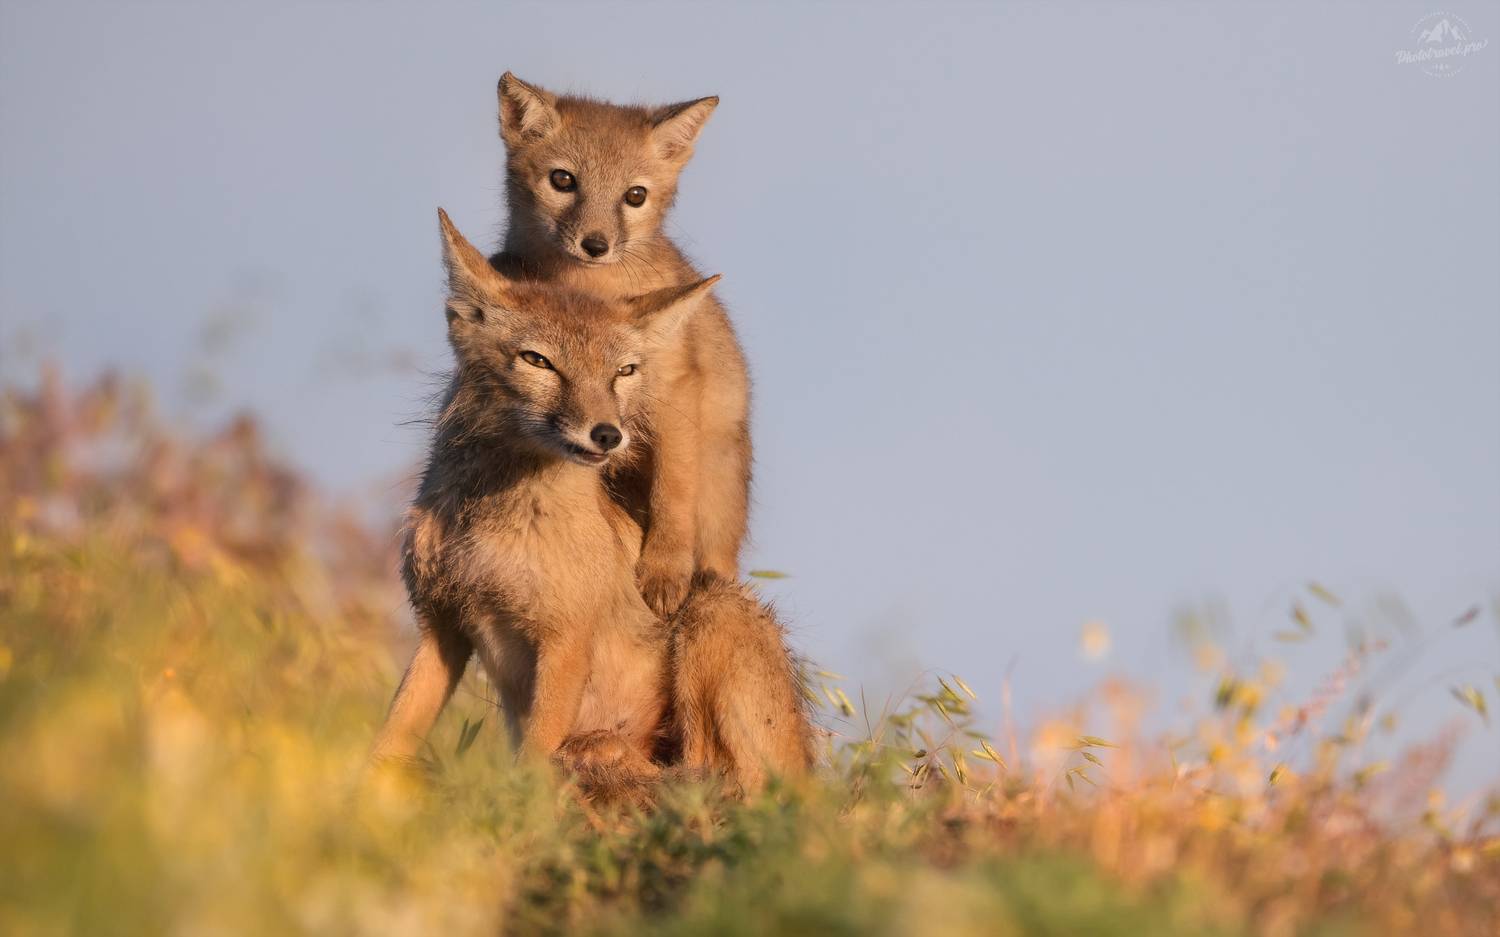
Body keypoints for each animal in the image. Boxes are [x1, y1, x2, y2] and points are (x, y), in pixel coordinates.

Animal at [491, 72, 750, 618]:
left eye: (635, 195)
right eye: (562, 180)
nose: (595, 245)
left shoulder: (674, 391)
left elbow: (672, 496)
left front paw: (664, 572)